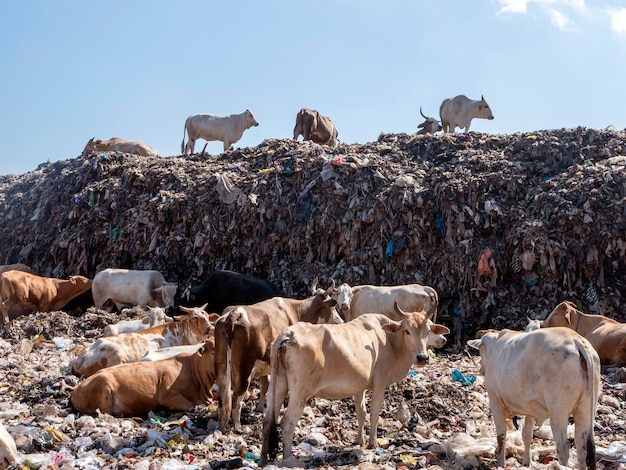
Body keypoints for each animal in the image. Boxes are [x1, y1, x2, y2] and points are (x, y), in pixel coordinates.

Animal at [214, 288, 342, 432]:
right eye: (333, 308)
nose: (341, 321)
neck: (296, 311)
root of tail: (236, 312)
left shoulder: (265, 364)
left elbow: (265, 386)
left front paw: (260, 409)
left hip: (221, 365)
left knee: (222, 397)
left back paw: (221, 426)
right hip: (244, 370)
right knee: (237, 399)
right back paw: (238, 427)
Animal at [260, 302, 448, 468]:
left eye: (427, 330)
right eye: (407, 331)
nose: (422, 357)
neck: (390, 341)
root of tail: (287, 335)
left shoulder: (359, 387)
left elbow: (361, 413)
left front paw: (359, 440)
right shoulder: (380, 382)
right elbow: (374, 414)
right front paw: (372, 443)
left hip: (278, 384)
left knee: (268, 420)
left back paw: (263, 460)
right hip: (300, 392)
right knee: (287, 423)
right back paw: (288, 459)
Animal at [468, 326, 600, 470]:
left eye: (480, 350)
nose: (481, 369)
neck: (495, 347)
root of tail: (576, 339)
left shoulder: (495, 400)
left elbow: (501, 435)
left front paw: (501, 463)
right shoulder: (529, 409)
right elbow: (527, 435)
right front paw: (526, 462)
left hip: (558, 411)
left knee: (563, 447)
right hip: (585, 410)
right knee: (581, 448)